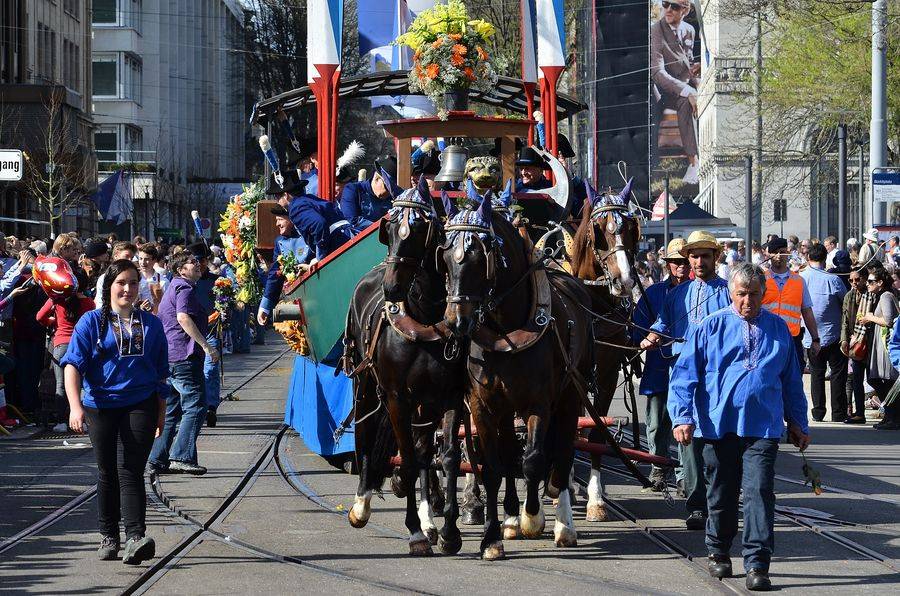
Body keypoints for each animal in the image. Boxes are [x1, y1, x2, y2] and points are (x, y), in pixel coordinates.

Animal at [344, 175, 468, 556]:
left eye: (418, 229)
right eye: (390, 228)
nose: (391, 287)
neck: (425, 318)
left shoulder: (450, 397)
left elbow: (445, 457)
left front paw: (448, 531)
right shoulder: (397, 397)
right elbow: (409, 461)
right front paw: (414, 533)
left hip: (423, 403)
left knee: (424, 450)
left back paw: (430, 520)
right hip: (366, 387)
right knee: (367, 432)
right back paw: (361, 505)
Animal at [440, 190, 596, 560]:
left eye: (477, 256)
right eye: (446, 257)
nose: (456, 322)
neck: (505, 331)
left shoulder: (539, 403)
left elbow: (534, 460)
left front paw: (533, 517)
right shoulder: (483, 405)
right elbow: (495, 467)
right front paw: (492, 538)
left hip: (570, 396)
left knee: (561, 452)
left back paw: (562, 524)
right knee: (511, 454)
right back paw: (511, 516)